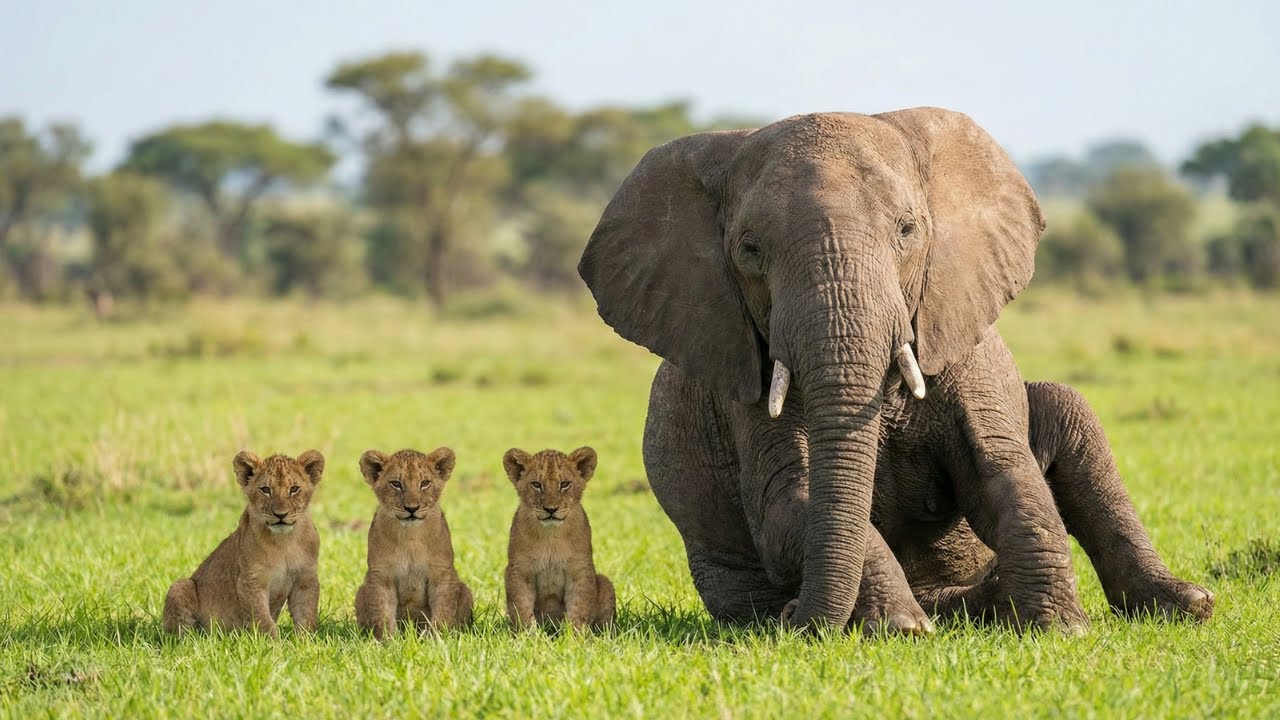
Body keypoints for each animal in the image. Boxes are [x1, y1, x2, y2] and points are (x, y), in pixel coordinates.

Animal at [162, 449, 325, 637]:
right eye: (265, 490)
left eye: (294, 489)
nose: (280, 515)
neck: (284, 542)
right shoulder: (250, 582)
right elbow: (263, 620)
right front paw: (274, 643)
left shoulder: (305, 580)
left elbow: (306, 615)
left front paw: (304, 641)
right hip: (180, 586)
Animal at [354, 447, 474, 638]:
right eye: (396, 483)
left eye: (424, 483)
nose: (412, 508)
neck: (410, 537)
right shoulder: (381, 576)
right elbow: (382, 613)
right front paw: (388, 641)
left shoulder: (441, 574)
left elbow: (443, 611)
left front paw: (437, 639)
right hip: (361, 592)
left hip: (465, 592)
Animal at [502, 446, 615, 631]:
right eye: (536, 484)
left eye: (564, 484)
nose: (551, 509)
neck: (551, 537)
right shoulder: (519, 571)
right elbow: (522, 608)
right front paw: (527, 635)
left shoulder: (579, 571)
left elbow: (579, 608)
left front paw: (576, 636)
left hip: (605, 583)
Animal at [578, 107, 1212, 631]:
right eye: (750, 250)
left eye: (907, 231)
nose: (797, 621)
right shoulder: (740, 375)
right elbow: (789, 502)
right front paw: (901, 629)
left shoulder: (953, 323)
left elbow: (1002, 471)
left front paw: (1060, 629)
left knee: (1070, 412)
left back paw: (1186, 605)